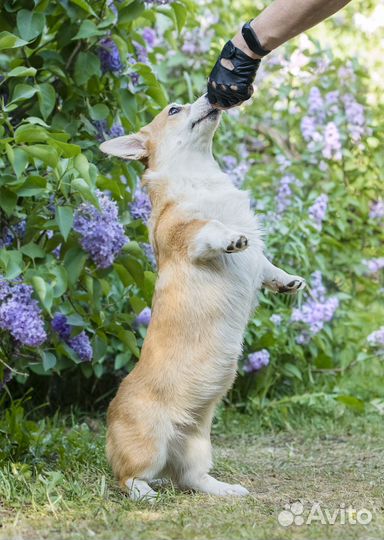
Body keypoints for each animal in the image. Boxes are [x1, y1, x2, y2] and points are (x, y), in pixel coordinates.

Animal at [100, 95, 306, 500]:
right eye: (174, 110)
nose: (211, 97)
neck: (199, 174)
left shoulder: (259, 261)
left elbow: (267, 265)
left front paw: (287, 281)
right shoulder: (189, 236)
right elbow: (210, 228)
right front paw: (231, 238)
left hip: (198, 443)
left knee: (192, 478)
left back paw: (225, 489)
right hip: (148, 443)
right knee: (127, 476)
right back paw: (144, 493)